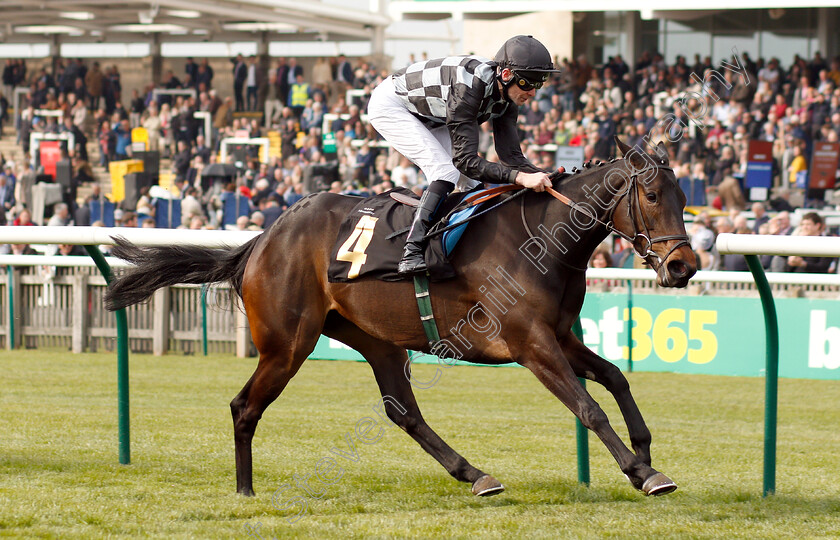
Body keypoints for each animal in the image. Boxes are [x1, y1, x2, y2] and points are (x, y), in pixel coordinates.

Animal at [105, 138, 696, 498]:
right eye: (650, 194)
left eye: (685, 196)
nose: (684, 266)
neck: (540, 239)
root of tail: (262, 239)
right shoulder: (530, 344)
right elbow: (588, 407)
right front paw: (643, 472)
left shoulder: (559, 337)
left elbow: (616, 377)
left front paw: (644, 446)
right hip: (287, 343)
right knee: (244, 406)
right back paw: (245, 490)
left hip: (375, 339)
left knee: (403, 412)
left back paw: (474, 474)